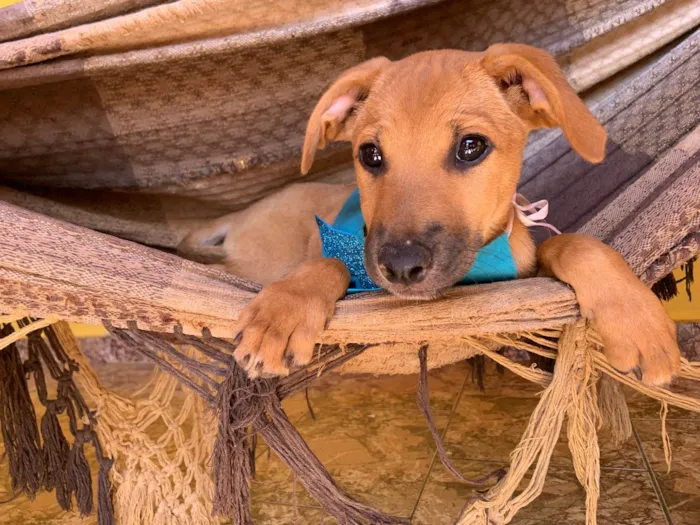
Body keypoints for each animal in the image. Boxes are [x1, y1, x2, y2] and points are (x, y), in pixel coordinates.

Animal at [178, 44, 680, 384]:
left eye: (471, 146)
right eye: (370, 154)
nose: (401, 267)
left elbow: (573, 242)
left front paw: (636, 318)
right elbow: (332, 260)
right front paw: (283, 311)